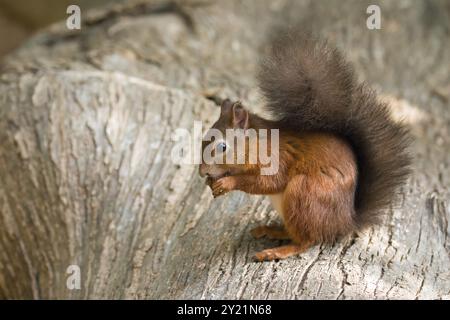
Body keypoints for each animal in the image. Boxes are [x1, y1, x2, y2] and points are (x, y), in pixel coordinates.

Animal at [199, 30, 410, 262]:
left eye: (222, 147)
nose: (201, 172)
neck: (257, 143)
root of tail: (345, 222)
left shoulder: (278, 158)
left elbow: (268, 182)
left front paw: (227, 182)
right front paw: (212, 182)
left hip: (304, 194)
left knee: (307, 240)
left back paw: (277, 251)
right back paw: (272, 230)